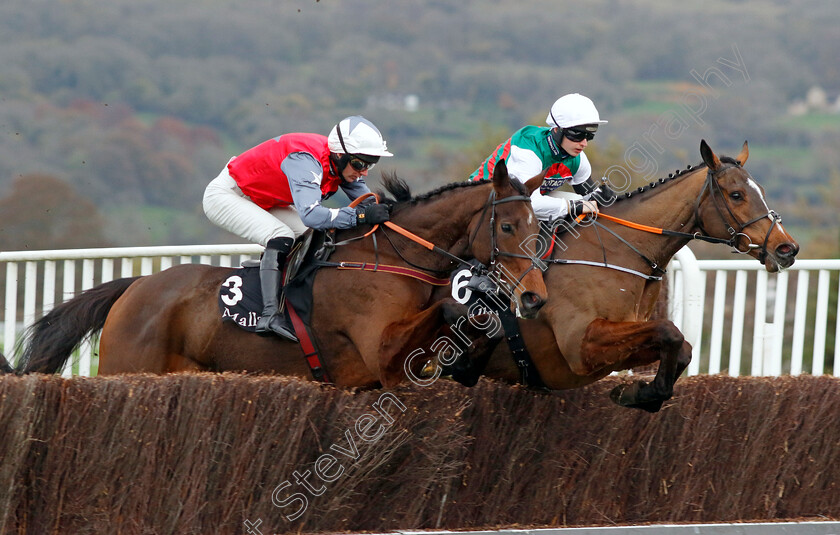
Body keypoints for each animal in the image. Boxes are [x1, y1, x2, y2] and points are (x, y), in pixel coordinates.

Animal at [11, 161, 552, 388]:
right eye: (508, 226)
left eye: (539, 227)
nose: (533, 297)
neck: (392, 260)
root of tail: (136, 287)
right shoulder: (381, 354)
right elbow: (441, 309)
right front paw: (475, 296)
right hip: (125, 369)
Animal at [450, 140, 796, 412]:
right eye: (736, 194)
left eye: (762, 192)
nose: (786, 248)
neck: (618, 252)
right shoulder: (581, 347)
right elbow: (670, 331)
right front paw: (637, 393)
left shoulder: (622, 345)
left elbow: (680, 346)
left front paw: (641, 394)